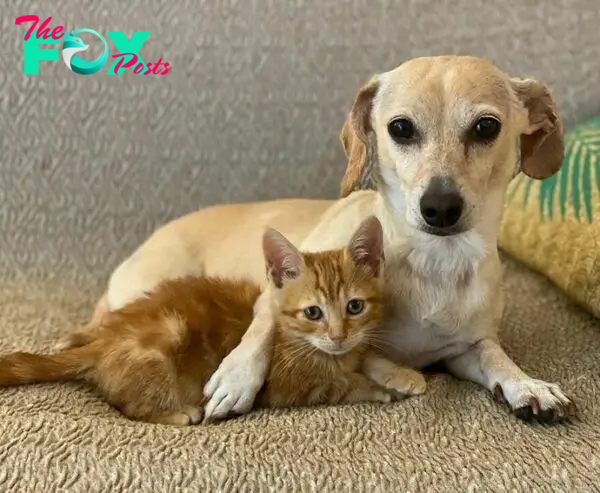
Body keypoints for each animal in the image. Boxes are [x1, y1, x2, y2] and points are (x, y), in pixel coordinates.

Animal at [0, 215, 426, 422]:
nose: (338, 335)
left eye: (355, 306)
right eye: (313, 312)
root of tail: (104, 343)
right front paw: (378, 389)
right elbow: (343, 383)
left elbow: (366, 357)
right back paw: (179, 413)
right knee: (129, 404)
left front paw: (397, 373)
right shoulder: (294, 383)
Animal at [59, 54, 572, 422]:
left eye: (487, 126)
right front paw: (236, 377)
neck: (433, 263)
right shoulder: (277, 296)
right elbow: (264, 324)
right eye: (400, 128)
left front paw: (528, 385)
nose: (440, 208)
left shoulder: (465, 350)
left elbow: (495, 357)